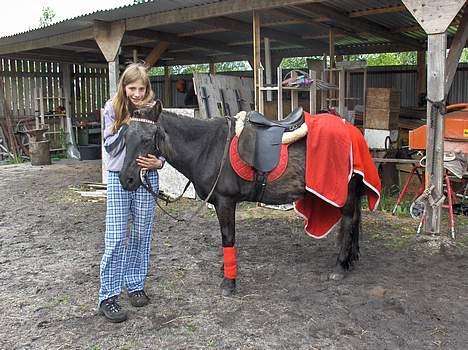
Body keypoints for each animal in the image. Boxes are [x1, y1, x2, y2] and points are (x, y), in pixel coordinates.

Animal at [119, 101, 364, 296]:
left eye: (147, 138)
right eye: (125, 137)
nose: (126, 179)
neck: (208, 148)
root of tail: (352, 130)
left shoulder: (225, 202)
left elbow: (228, 237)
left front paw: (229, 282)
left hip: (345, 195)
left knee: (348, 221)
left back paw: (340, 266)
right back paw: (350, 260)